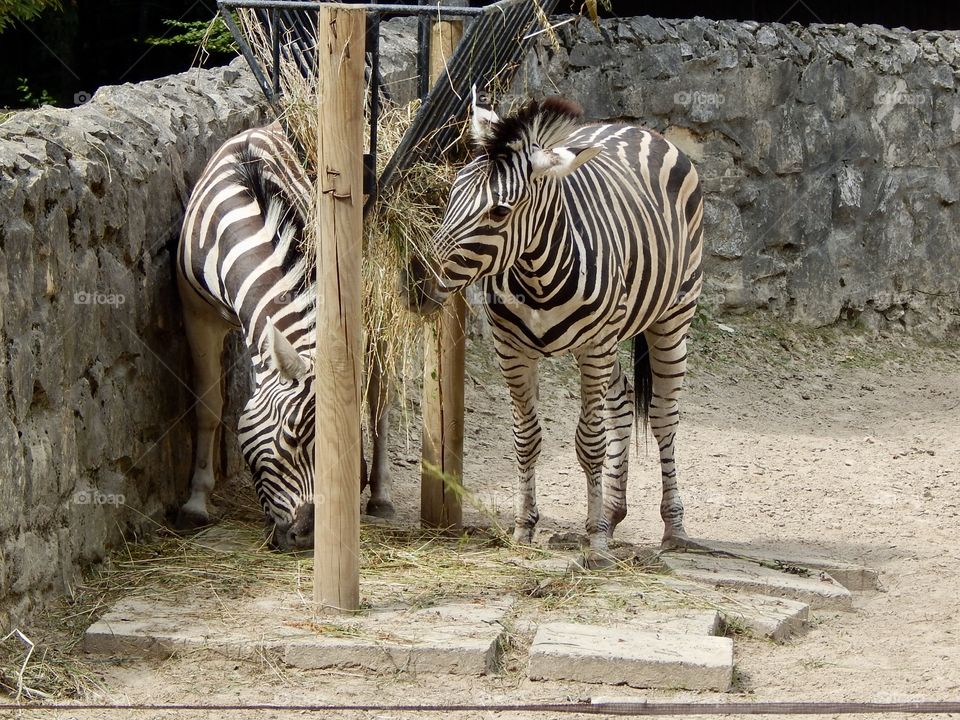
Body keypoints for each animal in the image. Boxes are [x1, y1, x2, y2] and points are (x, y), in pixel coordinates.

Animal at [176, 121, 394, 550]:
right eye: (291, 439)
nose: (308, 535)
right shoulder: (197, 313)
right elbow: (208, 405)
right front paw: (196, 501)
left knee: (378, 397)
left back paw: (378, 494)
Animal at [404, 95, 703, 564]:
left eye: (499, 211)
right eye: (452, 194)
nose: (414, 283)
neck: (537, 276)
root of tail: (641, 130)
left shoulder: (595, 347)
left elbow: (590, 442)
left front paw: (595, 544)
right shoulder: (512, 349)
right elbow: (526, 439)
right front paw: (525, 528)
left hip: (674, 315)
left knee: (662, 416)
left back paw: (672, 527)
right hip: (612, 337)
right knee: (621, 398)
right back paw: (612, 513)